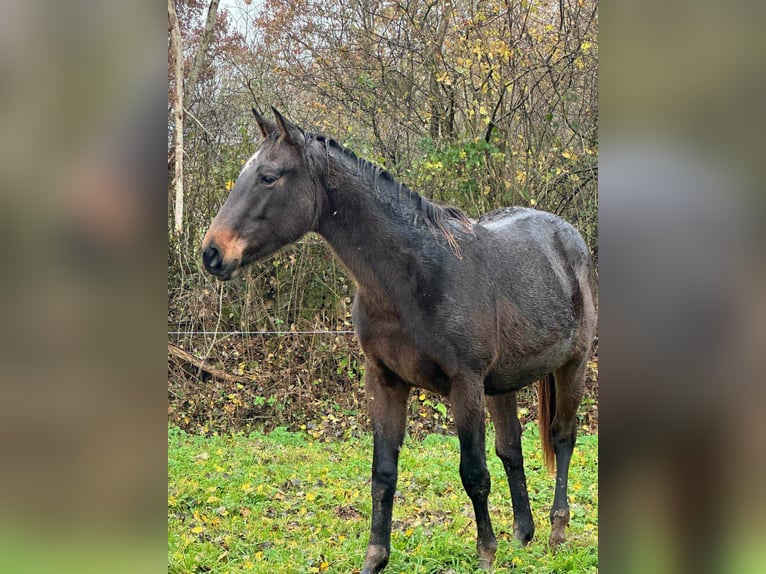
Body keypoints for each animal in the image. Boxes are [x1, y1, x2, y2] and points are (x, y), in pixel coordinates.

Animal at [202, 109, 600, 574]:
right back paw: (523, 533)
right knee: (512, 448)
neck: (416, 275)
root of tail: (568, 238)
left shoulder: (465, 386)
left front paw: (486, 552)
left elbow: (474, 474)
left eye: (268, 177)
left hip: (571, 366)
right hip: (502, 384)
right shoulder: (385, 382)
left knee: (562, 438)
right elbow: (383, 475)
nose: (212, 253)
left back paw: (556, 530)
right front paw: (375, 558)